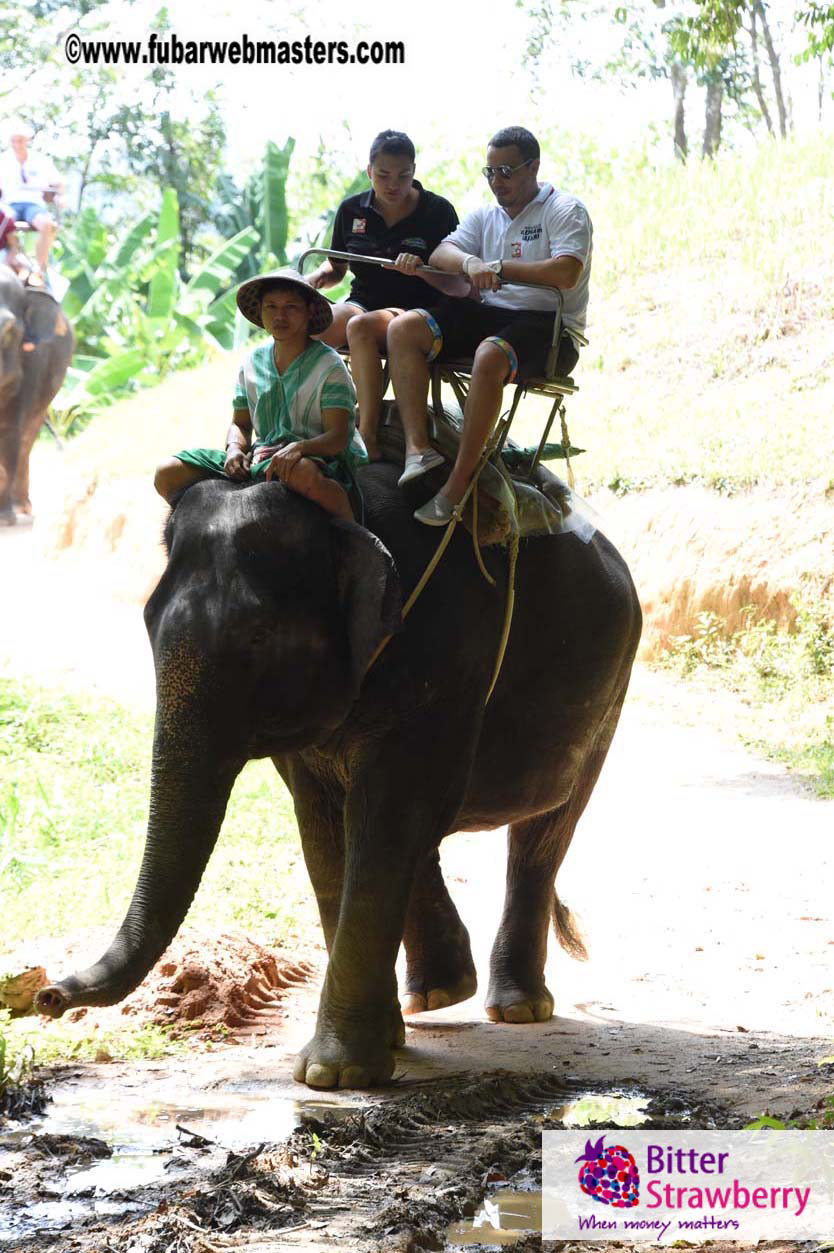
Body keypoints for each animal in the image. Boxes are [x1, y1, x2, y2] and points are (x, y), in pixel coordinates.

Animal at [0, 264, 74, 524]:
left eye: (8, 330)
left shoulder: (32, 362)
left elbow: (9, 431)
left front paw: (5, 518)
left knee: (26, 440)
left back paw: (21, 507)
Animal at [36, 460, 642, 1089]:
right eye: (148, 623)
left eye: (257, 637)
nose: (47, 996)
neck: (342, 516)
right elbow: (326, 832)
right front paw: (374, 1053)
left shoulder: (445, 651)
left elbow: (386, 818)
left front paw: (334, 1074)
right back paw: (438, 995)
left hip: (613, 689)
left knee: (542, 835)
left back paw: (517, 1008)